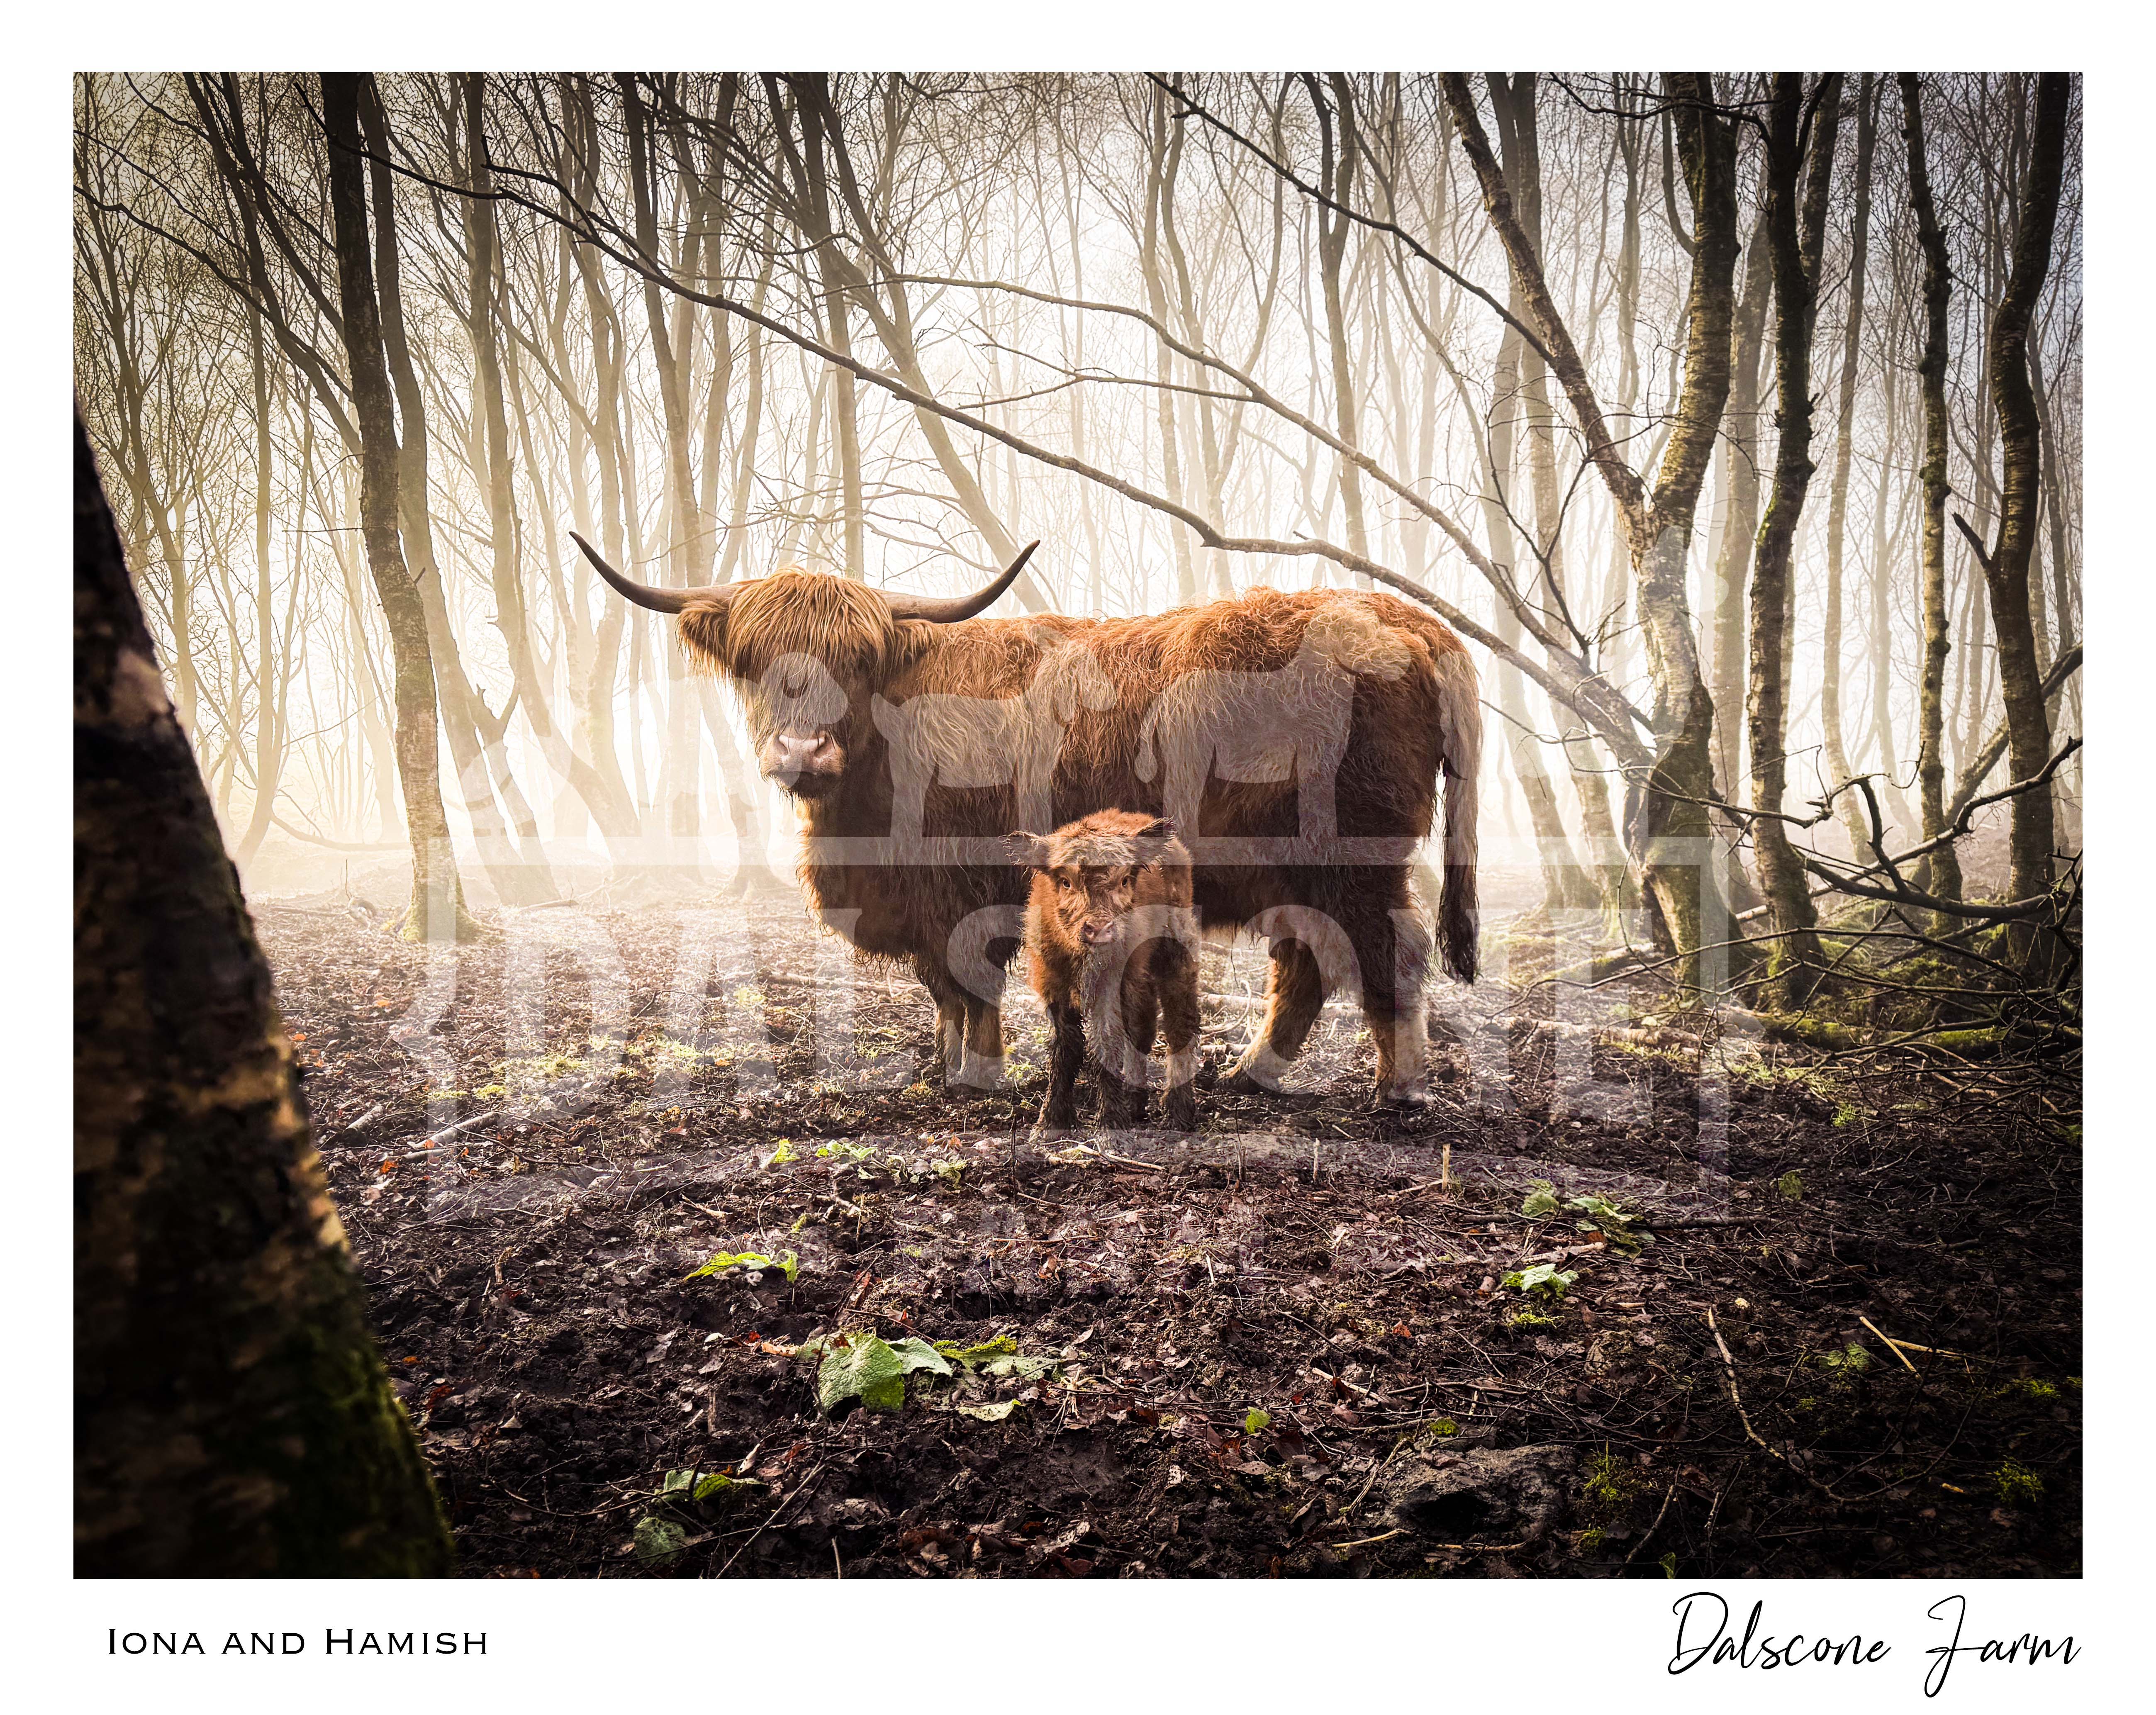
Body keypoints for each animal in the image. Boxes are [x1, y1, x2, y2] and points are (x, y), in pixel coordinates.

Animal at [1007, 810, 1201, 1134]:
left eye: (1124, 881)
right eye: (1065, 882)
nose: (1099, 928)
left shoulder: (1111, 986)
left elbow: (1106, 1043)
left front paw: (1110, 1121)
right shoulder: (1053, 984)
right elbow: (1066, 1047)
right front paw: (1052, 1120)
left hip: (1176, 953)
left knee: (1178, 1023)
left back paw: (1178, 1112)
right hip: (1139, 975)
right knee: (1143, 1027)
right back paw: (1135, 1101)